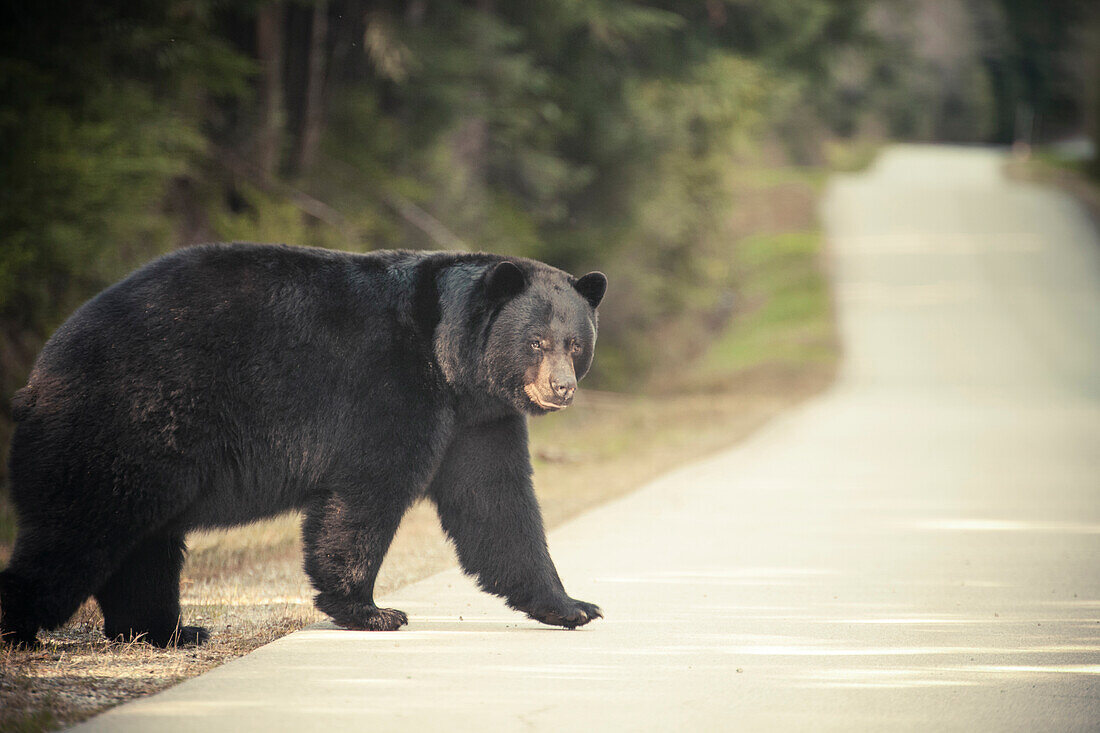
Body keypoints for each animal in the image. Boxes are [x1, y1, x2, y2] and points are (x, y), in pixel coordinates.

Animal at [0, 242, 607, 642]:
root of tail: (39, 375)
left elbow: (497, 504)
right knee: (80, 531)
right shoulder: (392, 384)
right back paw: (22, 626)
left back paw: (166, 630)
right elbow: (369, 490)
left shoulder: (477, 419)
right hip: (127, 422)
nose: (561, 388)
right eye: (536, 341)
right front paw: (369, 610)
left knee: (143, 544)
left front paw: (573, 605)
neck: (449, 359)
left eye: (576, 344)